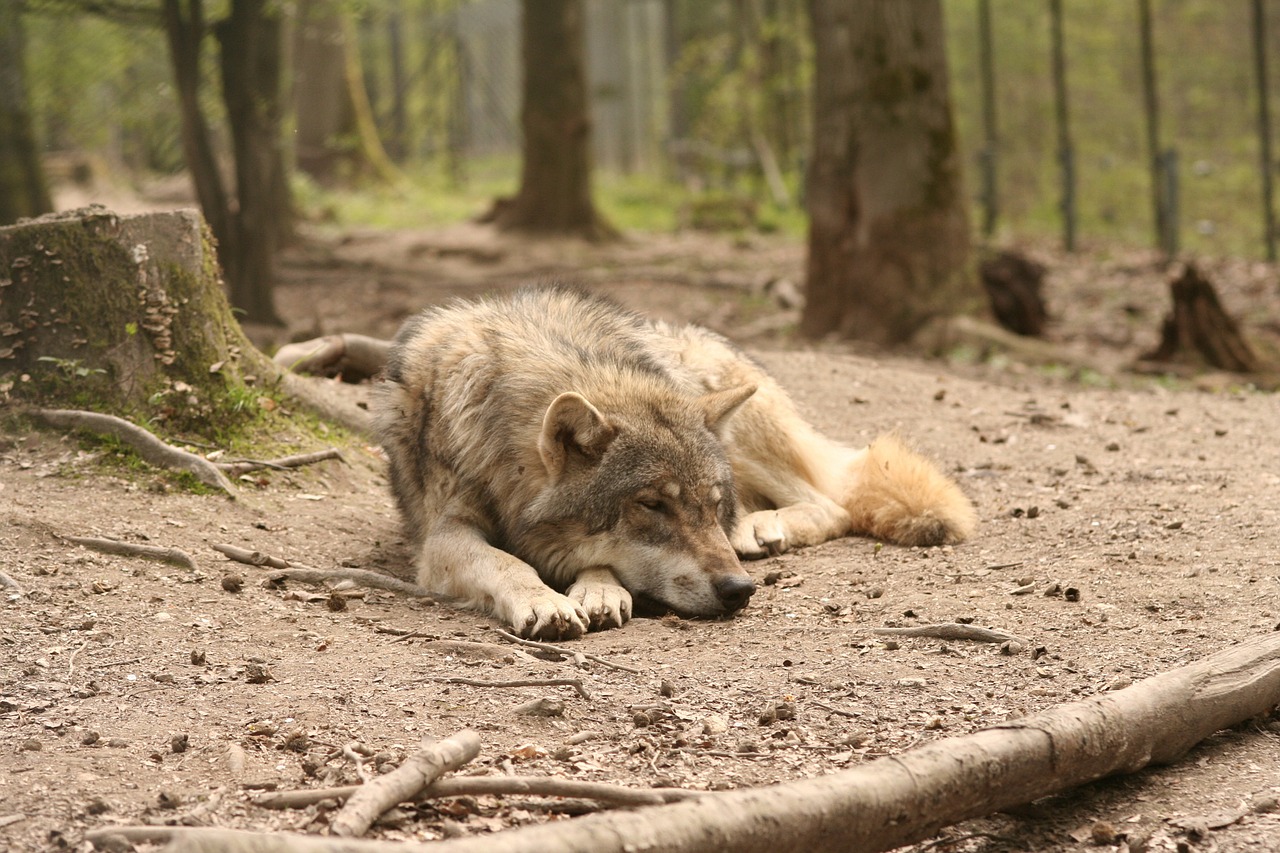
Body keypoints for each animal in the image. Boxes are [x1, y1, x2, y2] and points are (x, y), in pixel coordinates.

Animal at [373, 285, 972, 637]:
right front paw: (551, 600)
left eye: (711, 506)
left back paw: (759, 527)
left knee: (831, 504)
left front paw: (597, 589)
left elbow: (593, 557)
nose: (739, 591)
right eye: (653, 505)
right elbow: (505, 562)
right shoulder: (444, 534)